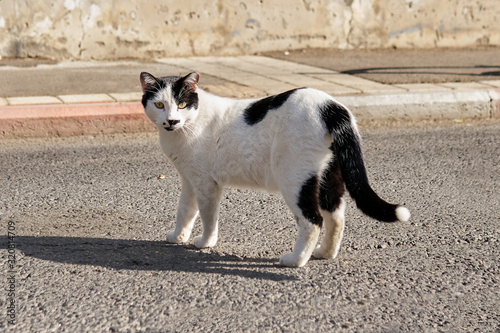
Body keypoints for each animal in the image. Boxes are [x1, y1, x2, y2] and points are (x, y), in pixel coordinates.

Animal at [139, 71, 408, 266]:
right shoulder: (190, 180)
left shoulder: (207, 184)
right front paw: (178, 237)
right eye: (160, 104)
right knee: (337, 217)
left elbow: (207, 216)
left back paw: (296, 260)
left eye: (182, 103)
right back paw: (324, 253)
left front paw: (206, 242)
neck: (183, 129)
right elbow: (185, 211)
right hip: (329, 178)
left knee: (313, 221)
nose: (171, 120)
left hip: (294, 179)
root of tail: (330, 105)